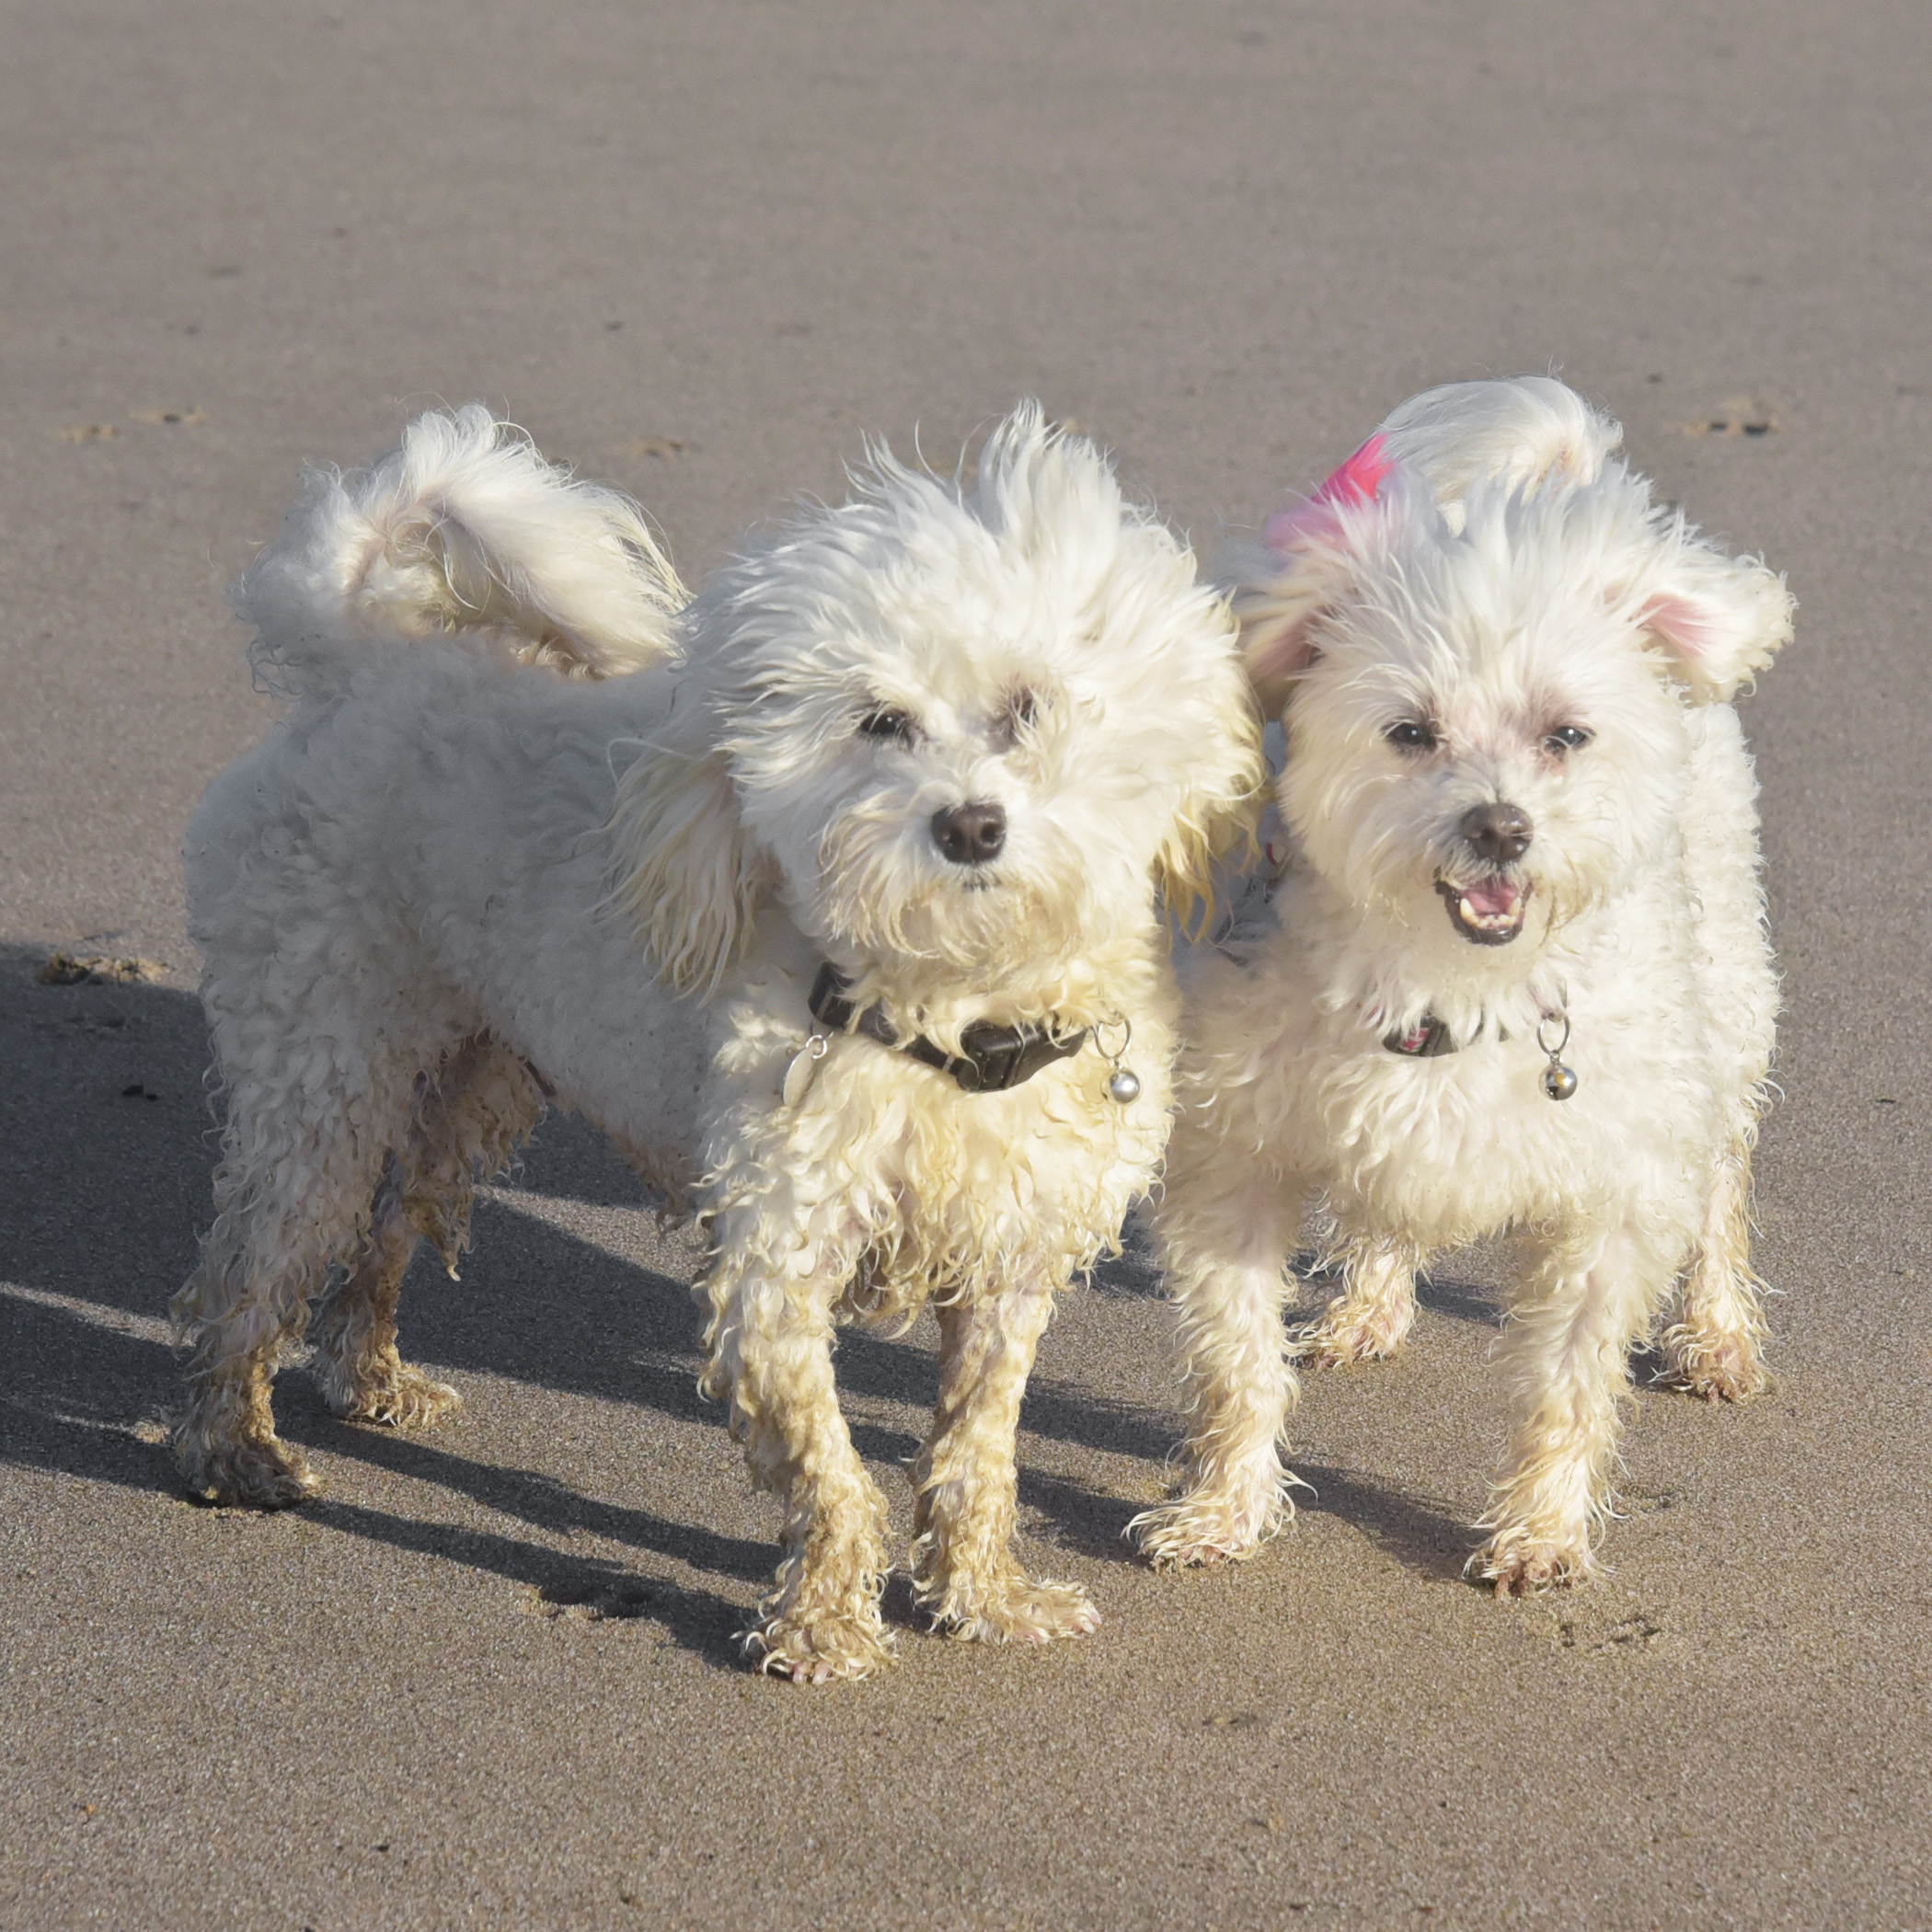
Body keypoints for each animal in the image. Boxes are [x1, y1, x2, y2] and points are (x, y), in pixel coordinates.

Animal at [173, 403, 1259, 1676]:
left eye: (1028, 707)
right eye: (880, 722)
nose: (968, 825)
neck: (953, 1016)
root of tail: (363, 665)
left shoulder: (1004, 1260)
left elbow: (976, 1449)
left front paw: (985, 1595)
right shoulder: (774, 1258)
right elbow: (830, 1470)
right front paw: (826, 1626)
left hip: (474, 1082)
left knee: (390, 1230)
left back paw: (372, 1380)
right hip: (324, 1063)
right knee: (257, 1257)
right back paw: (229, 1447)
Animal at [1128, 380, 1792, 1599]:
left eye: (1566, 735)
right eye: (1411, 732)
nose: (1498, 826)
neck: (1458, 981)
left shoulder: (1611, 1190)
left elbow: (1567, 1384)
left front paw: (1541, 1531)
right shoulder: (1232, 1160)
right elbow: (1237, 1360)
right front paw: (1222, 1510)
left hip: (1724, 986)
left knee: (1722, 1174)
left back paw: (1718, 1333)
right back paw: (1369, 1305)